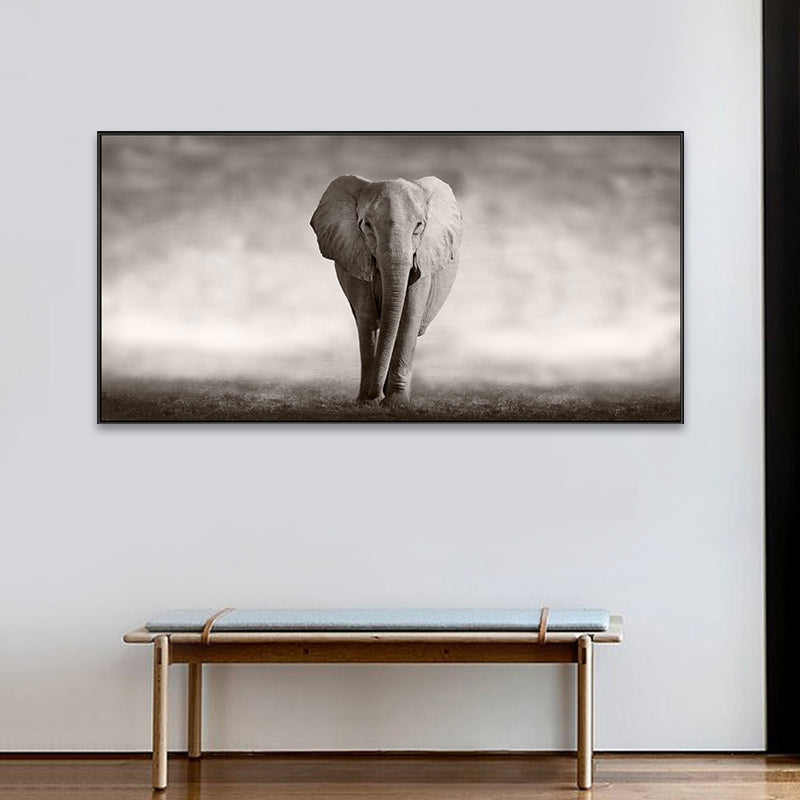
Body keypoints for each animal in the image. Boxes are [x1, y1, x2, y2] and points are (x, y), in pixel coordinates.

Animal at [310, 175, 462, 405]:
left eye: (419, 226)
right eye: (367, 225)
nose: (377, 396)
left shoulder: (422, 260)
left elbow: (409, 316)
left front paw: (396, 403)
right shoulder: (356, 256)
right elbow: (367, 317)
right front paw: (367, 402)